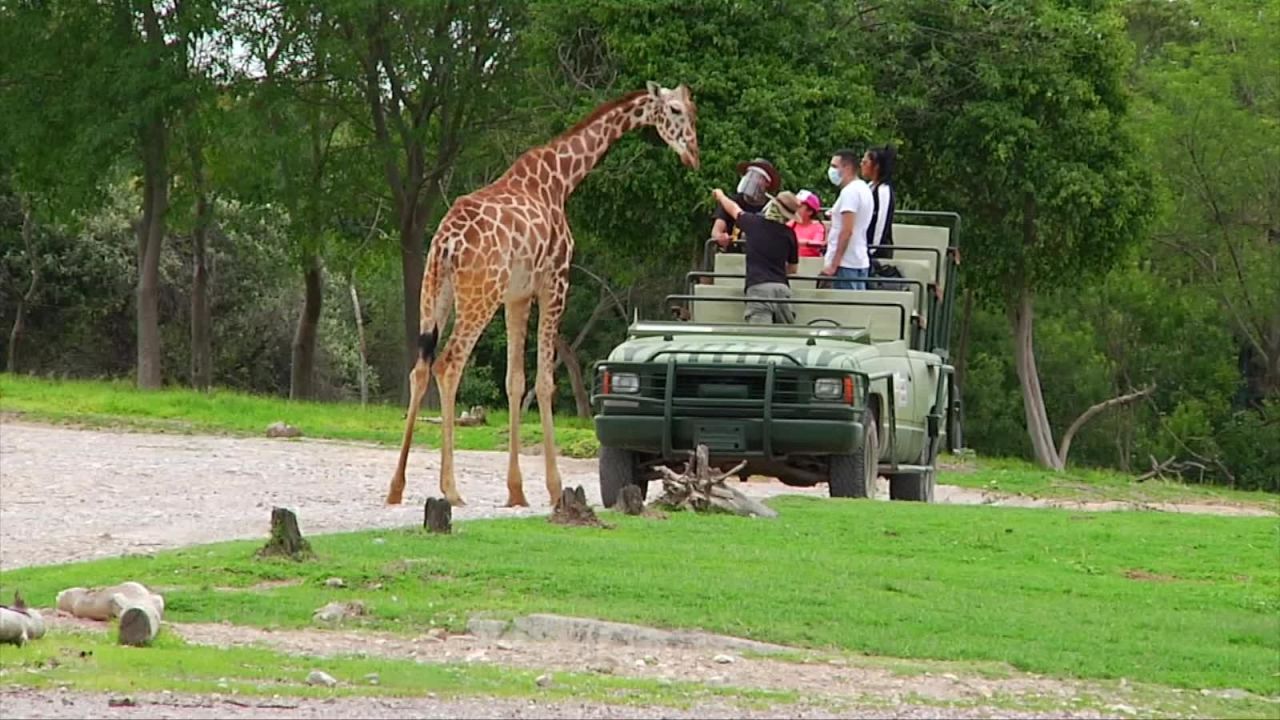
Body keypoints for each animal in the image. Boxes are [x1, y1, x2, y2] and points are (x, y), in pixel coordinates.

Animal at [386, 81, 701, 504]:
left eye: (692, 111)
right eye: (675, 111)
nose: (693, 154)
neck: (560, 178)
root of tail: (447, 243)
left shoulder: (517, 296)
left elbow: (515, 380)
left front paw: (517, 491)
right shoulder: (555, 283)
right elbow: (545, 382)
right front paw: (554, 488)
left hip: (435, 292)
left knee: (420, 368)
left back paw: (396, 487)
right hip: (479, 295)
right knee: (448, 363)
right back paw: (450, 489)